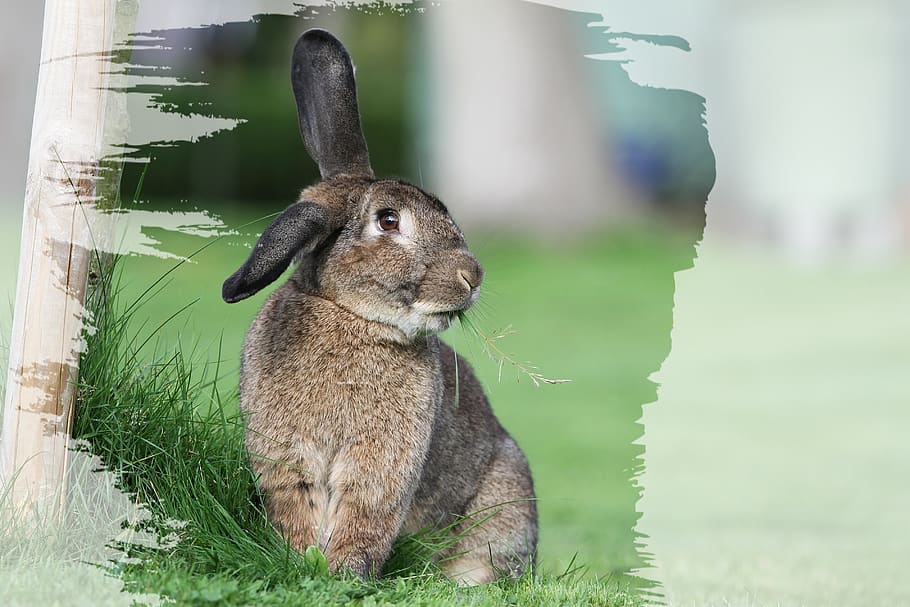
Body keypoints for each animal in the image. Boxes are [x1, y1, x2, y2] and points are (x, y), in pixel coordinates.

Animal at [222, 28, 537, 585]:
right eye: (389, 221)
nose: (472, 276)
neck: (350, 315)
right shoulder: (286, 459)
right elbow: (298, 507)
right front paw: (302, 563)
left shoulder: (380, 466)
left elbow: (365, 514)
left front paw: (345, 574)